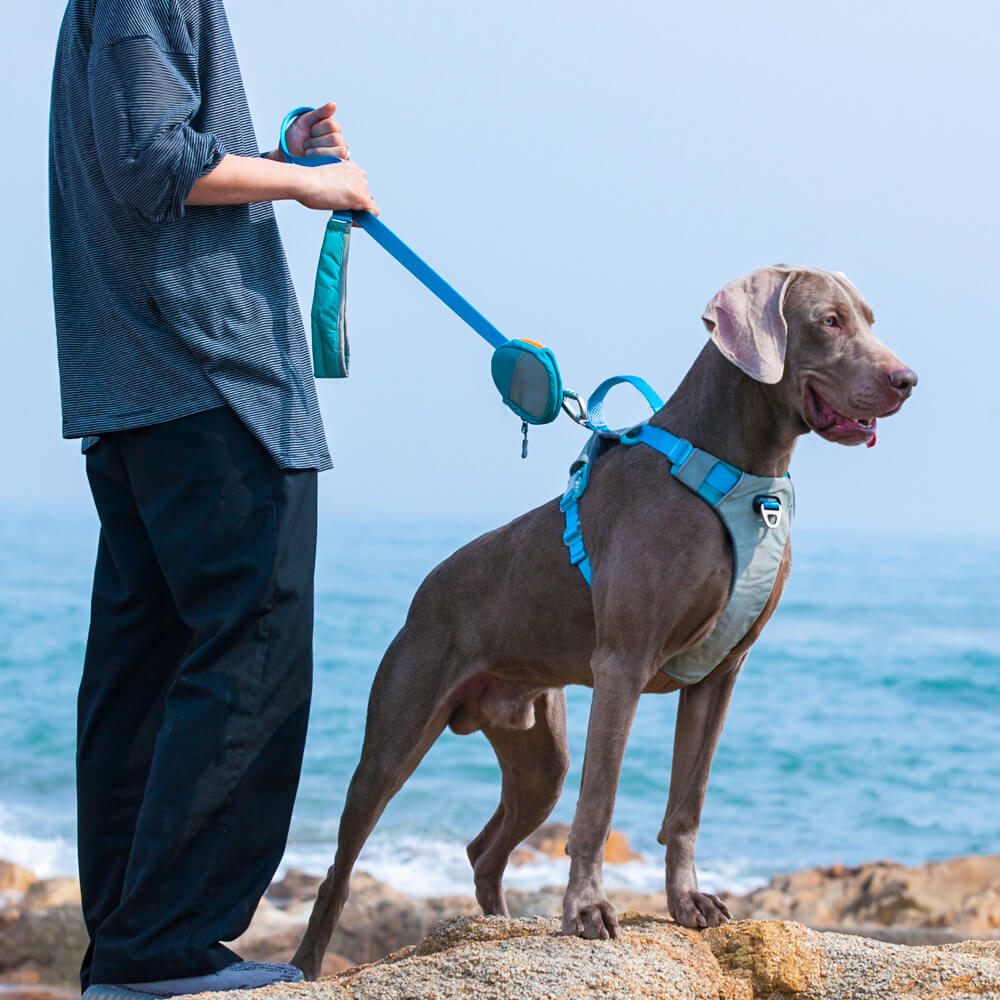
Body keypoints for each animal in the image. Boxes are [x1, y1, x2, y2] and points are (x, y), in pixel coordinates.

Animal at [288, 266, 916, 976]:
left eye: (869, 318)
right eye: (829, 321)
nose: (907, 379)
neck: (738, 473)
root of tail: (425, 590)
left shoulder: (721, 673)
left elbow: (688, 803)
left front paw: (688, 903)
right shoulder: (624, 664)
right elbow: (600, 802)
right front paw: (587, 912)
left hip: (540, 754)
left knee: (484, 849)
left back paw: (498, 926)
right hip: (397, 731)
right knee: (341, 864)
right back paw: (307, 963)